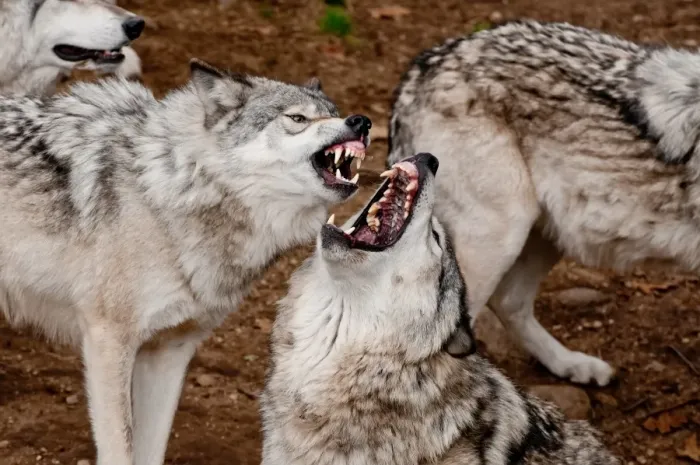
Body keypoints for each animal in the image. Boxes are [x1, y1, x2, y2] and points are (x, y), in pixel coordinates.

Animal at [0, 59, 370, 465]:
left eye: (333, 112)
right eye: (298, 118)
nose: (361, 122)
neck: (175, 188)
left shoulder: (169, 352)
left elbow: (151, 449)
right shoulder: (108, 340)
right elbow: (120, 448)